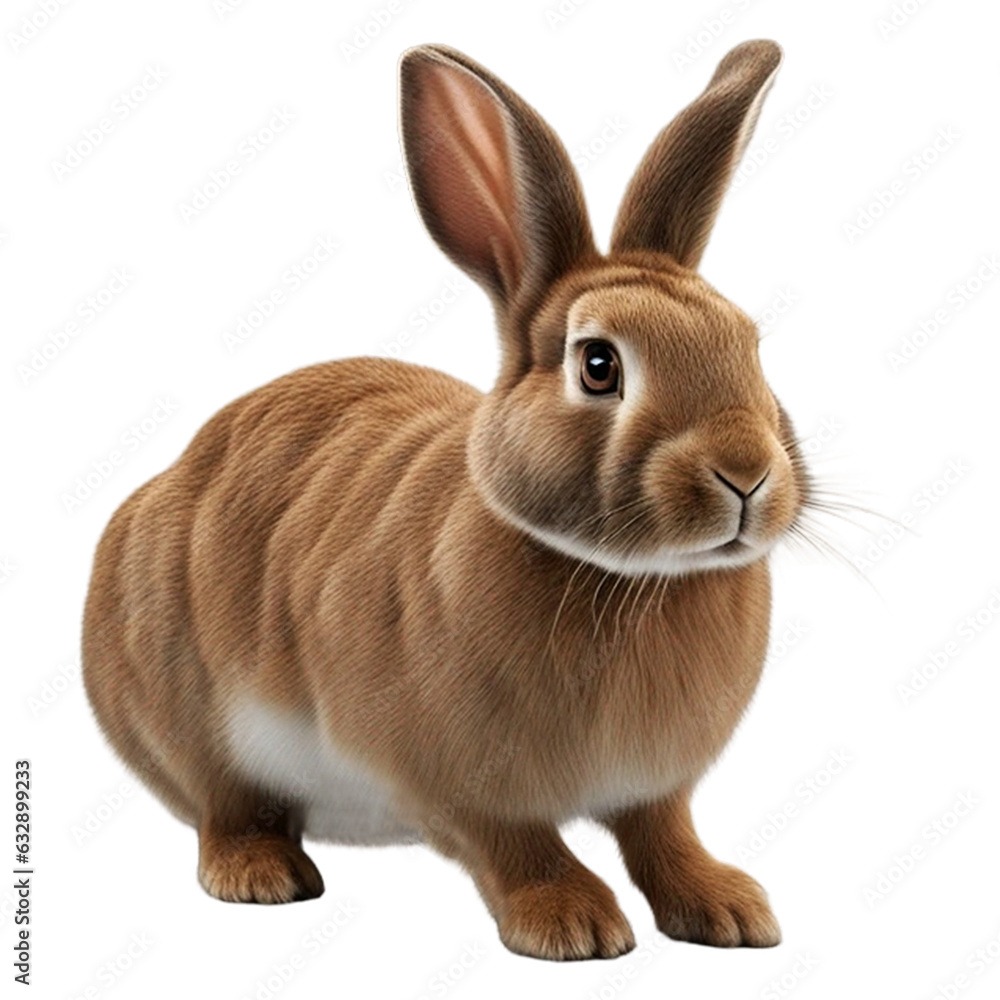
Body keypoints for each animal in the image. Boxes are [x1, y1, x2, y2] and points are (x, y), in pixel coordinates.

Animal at [82, 38, 809, 961]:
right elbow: (514, 843)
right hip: (190, 709)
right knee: (226, 805)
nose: (746, 474)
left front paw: (727, 909)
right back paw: (262, 873)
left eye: (750, 344)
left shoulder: (656, 787)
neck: (629, 579)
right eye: (598, 365)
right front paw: (571, 922)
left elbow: (663, 834)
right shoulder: (457, 780)